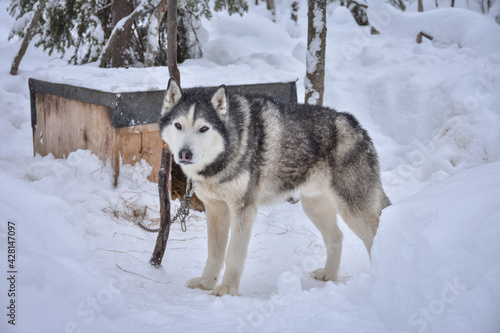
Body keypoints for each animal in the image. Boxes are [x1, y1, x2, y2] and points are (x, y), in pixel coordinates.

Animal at [158, 78, 388, 296]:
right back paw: (328, 275)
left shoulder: (244, 209)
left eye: (204, 128)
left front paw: (227, 289)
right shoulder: (216, 208)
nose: (185, 154)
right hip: (313, 207)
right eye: (178, 125)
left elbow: (233, 254)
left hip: (354, 212)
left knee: (375, 239)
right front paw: (206, 283)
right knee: (337, 237)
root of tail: (356, 125)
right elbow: (214, 253)